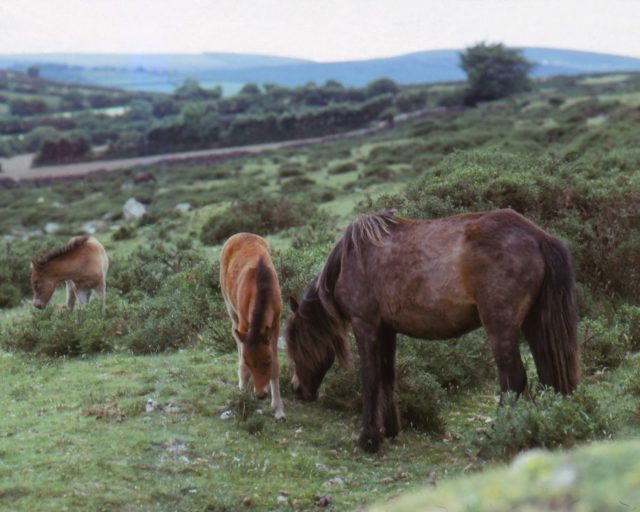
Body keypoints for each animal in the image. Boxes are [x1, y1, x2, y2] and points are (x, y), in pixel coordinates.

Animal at [220, 233, 286, 420]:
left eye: (267, 360)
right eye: (249, 362)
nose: (260, 395)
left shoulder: (275, 324)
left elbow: (276, 366)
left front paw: (279, 410)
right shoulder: (243, 322)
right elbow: (242, 354)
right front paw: (243, 392)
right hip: (229, 306)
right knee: (234, 334)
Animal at [285, 209, 579, 452]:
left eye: (295, 344)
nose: (297, 389)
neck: (351, 260)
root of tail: (538, 237)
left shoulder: (365, 325)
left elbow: (370, 380)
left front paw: (368, 439)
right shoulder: (387, 329)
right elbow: (387, 377)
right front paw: (389, 430)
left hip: (501, 327)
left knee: (513, 380)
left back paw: (494, 440)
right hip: (534, 323)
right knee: (547, 377)